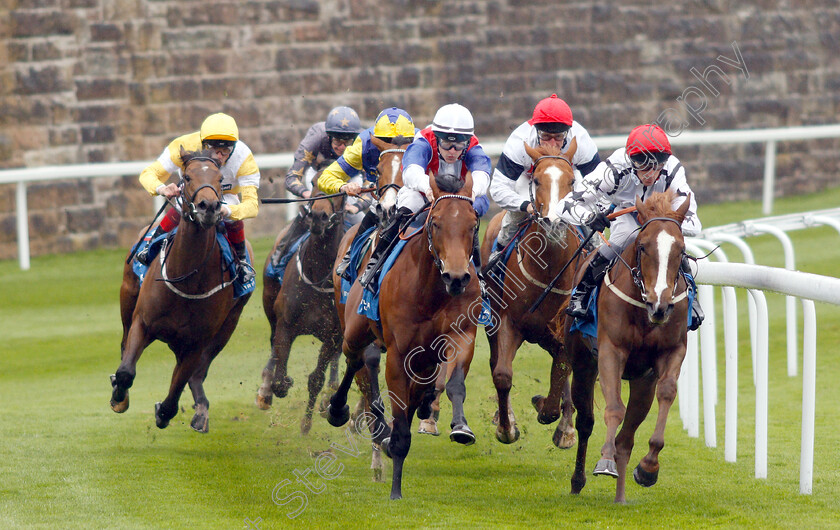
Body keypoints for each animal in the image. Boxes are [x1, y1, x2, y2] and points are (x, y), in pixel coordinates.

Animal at [110, 146, 253, 432]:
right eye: (186, 177)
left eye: (220, 179)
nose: (209, 207)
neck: (188, 278)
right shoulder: (142, 322)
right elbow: (126, 372)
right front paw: (119, 396)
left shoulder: (197, 342)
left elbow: (177, 386)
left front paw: (164, 412)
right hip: (127, 294)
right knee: (123, 343)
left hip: (227, 326)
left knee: (196, 374)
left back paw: (201, 410)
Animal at [258, 188, 346, 432]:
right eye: (315, 186)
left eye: (340, 191)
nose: (317, 217)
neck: (318, 276)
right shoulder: (286, 324)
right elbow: (279, 378)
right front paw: (280, 383)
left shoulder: (333, 335)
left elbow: (316, 378)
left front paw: (306, 424)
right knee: (272, 345)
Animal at [482, 138, 580, 444]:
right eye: (537, 180)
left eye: (572, 181)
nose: (554, 222)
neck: (547, 270)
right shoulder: (508, 322)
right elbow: (502, 374)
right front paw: (506, 427)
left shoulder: (562, 328)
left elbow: (560, 376)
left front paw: (556, 416)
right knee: (494, 361)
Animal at [560, 188, 692, 502]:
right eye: (643, 247)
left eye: (681, 250)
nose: (660, 305)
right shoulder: (611, 350)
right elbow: (613, 409)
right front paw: (604, 461)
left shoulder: (671, 353)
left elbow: (667, 393)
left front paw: (648, 467)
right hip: (583, 364)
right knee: (586, 422)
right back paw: (578, 480)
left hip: (642, 382)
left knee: (627, 437)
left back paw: (620, 497)